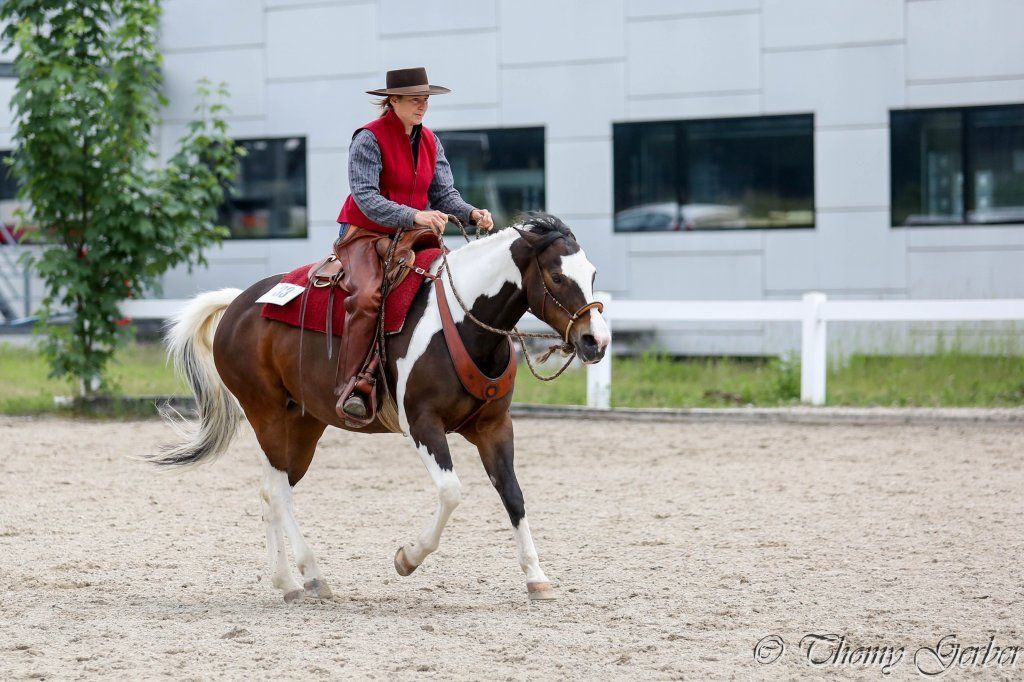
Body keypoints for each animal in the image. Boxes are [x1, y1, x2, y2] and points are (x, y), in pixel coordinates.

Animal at [145, 213, 610, 603]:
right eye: (556, 275)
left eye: (592, 274)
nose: (596, 341)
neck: (462, 324)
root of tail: (238, 303)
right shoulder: (423, 425)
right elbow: (451, 491)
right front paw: (407, 558)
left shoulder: (495, 427)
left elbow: (513, 495)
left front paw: (536, 577)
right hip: (267, 414)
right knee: (277, 490)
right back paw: (310, 574)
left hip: (304, 424)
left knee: (270, 491)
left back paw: (288, 581)